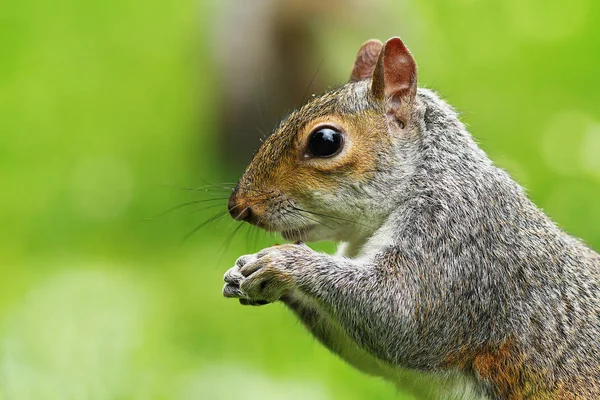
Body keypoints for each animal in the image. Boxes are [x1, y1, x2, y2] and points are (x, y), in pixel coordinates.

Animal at [220, 36, 600, 398]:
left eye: (325, 141)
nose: (238, 207)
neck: (422, 178)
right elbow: (367, 351)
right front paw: (242, 275)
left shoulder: (458, 242)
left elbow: (401, 314)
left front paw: (285, 262)